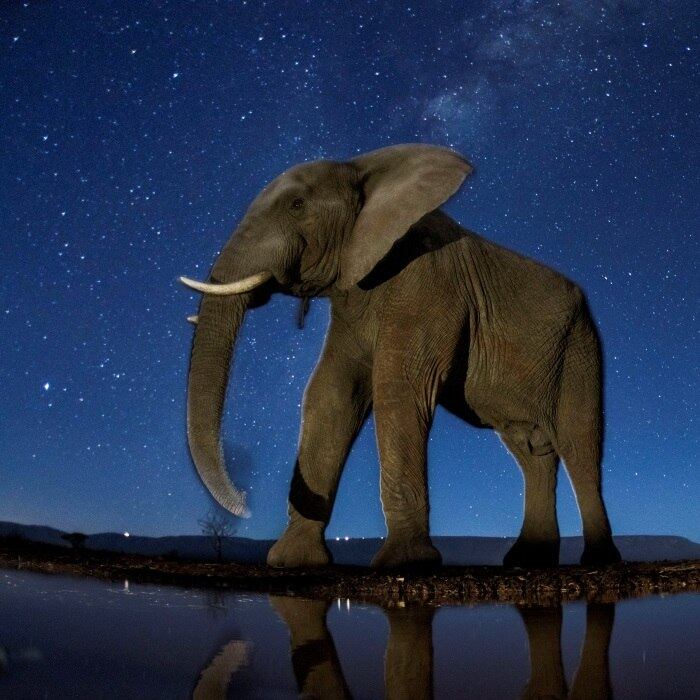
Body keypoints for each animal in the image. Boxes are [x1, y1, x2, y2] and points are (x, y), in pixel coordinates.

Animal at [180, 143, 621, 569]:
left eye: (297, 205)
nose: (244, 504)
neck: (364, 169)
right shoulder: (354, 297)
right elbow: (330, 394)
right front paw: (293, 562)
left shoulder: (428, 281)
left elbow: (397, 389)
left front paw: (405, 561)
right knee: (531, 451)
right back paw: (526, 561)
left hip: (580, 348)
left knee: (579, 447)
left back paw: (598, 560)